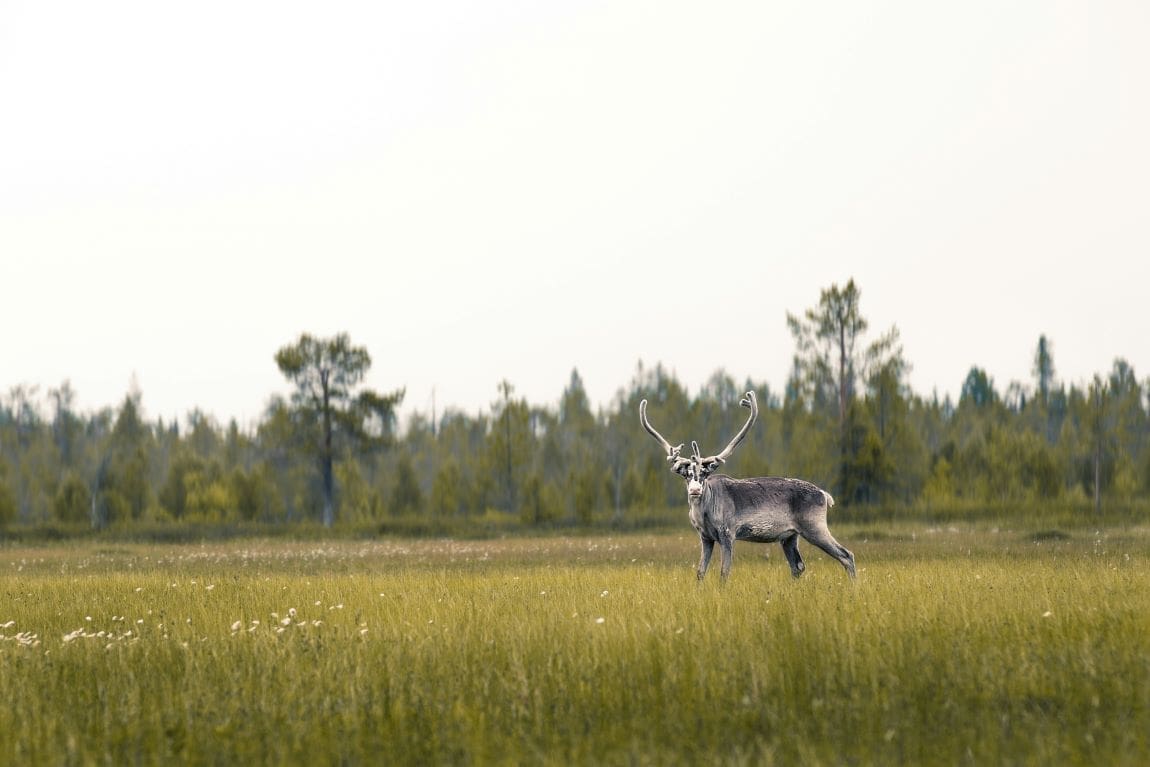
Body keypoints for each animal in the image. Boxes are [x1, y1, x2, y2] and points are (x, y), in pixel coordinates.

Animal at [640, 391, 856, 581]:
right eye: (686, 475)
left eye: (704, 474)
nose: (694, 490)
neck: (704, 512)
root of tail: (824, 494)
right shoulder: (705, 537)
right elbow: (700, 572)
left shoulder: (728, 533)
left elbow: (724, 572)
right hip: (789, 536)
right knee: (798, 566)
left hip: (814, 526)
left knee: (846, 555)